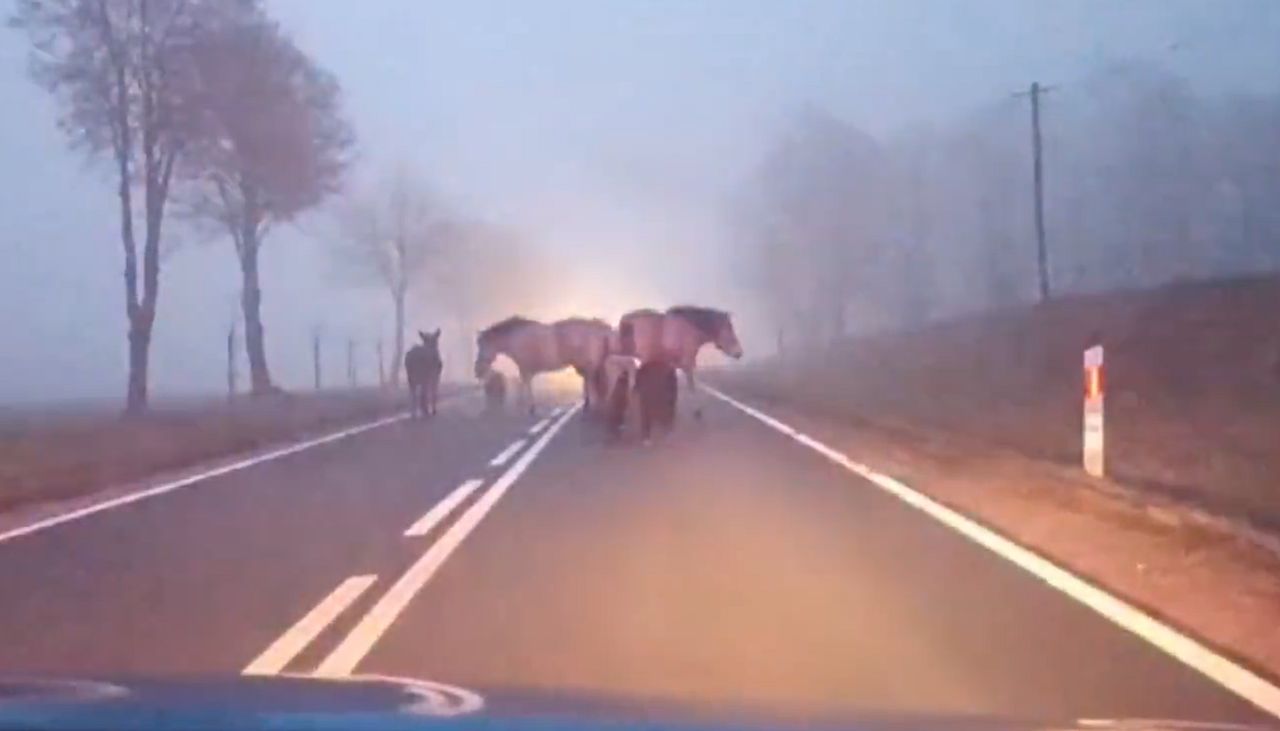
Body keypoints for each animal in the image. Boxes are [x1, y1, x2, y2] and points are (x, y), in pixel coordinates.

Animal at [476, 317, 614, 414]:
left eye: (481, 345)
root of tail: (597, 325)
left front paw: (530, 408)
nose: (477, 371)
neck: (516, 336)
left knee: (591, 383)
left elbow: (526, 386)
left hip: (588, 365)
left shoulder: (524, 368)